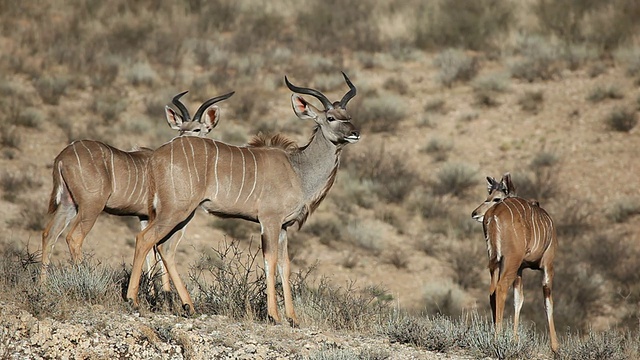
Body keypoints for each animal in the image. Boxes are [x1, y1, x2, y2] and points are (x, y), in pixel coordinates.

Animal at [38, 90, 232, 282]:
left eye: (197, 129)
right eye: (181, 128)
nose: (183, 139)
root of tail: (63, 157)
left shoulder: (144, 217)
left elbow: (151, 256)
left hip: (68, 204)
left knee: (49, 235)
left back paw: (43, 286)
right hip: (91, 206)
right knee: (74, 237)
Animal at [125, 71, 360, 324]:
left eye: (348, 116)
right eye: (330, 117)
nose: (355, 133)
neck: (297, 170)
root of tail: (155, 157)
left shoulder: (284, 226)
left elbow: (285, 265)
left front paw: (293, 318)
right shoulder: (269, 221)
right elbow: (270, 260)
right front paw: (274, 315)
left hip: (183, 214)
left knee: (165, 247)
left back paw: (189, 306)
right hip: (175, 210)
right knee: (145, 239)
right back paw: (133, 300)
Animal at [470, 173, 560, 352]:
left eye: (495, 197)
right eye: (488, 196)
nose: (474, 214)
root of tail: (493, 215)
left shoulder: (520, 269)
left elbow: (518, 300)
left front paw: (515, 339)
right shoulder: (547, 264)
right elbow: (548, 302)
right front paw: (555, 347)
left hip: (496, 262)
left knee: (492, 291)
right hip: (511, 260)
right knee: (501, 288)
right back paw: (497, 338)